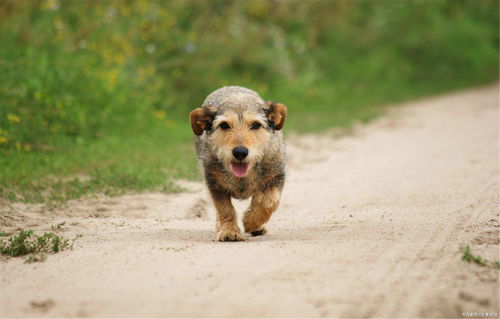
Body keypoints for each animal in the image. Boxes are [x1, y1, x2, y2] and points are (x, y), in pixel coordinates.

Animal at [189, 86, 288, 241]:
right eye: (224, 125)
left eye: (256, 124)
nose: (240, 152)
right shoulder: (214, 183)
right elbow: (224, 209)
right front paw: (229, 231)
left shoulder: (277, 176)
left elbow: (269, 202)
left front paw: (251, 222)